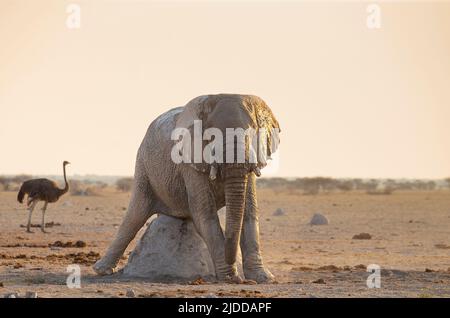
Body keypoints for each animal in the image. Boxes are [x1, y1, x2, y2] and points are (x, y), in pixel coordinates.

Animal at [93, 93, 280, 282]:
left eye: (253, 132)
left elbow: (250, 212)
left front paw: (264, 278)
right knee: (135, 215)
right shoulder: (189, 161)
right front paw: (230, 278)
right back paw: (101, 270)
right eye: (211, 136)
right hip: (143, 163)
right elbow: (205, 213)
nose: (239, 278)